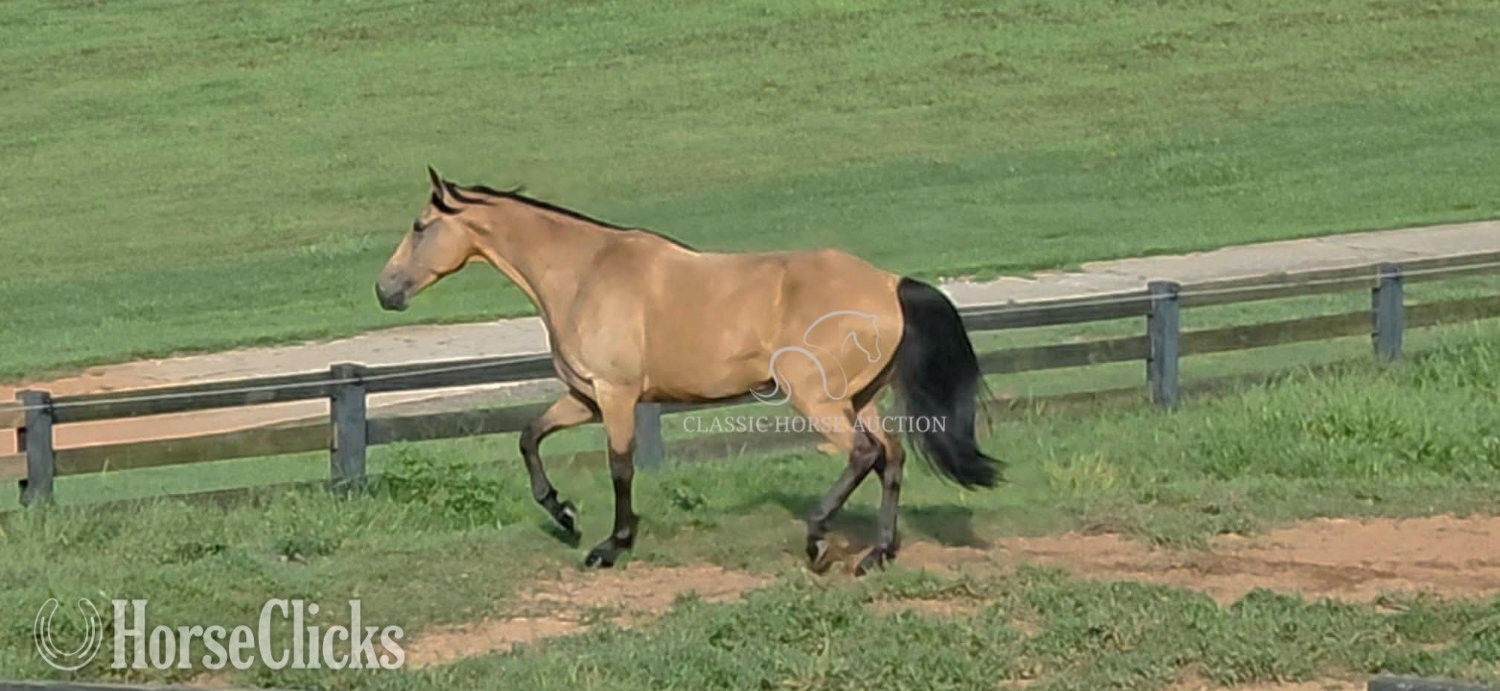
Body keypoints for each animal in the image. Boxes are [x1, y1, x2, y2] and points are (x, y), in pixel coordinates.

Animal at [376, 168, 999, 574]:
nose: (385, 291)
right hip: (859, 397)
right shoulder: (585, 397)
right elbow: (528, 437)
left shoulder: (617, 395)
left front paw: (610, 546)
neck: (586, 273)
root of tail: (890, 283)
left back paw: (818, 541)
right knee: (890, 457)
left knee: (864, 454)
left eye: (419, 226)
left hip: (817, 399)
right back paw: (876, 554)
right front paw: (565, 514)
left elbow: (620, 467)